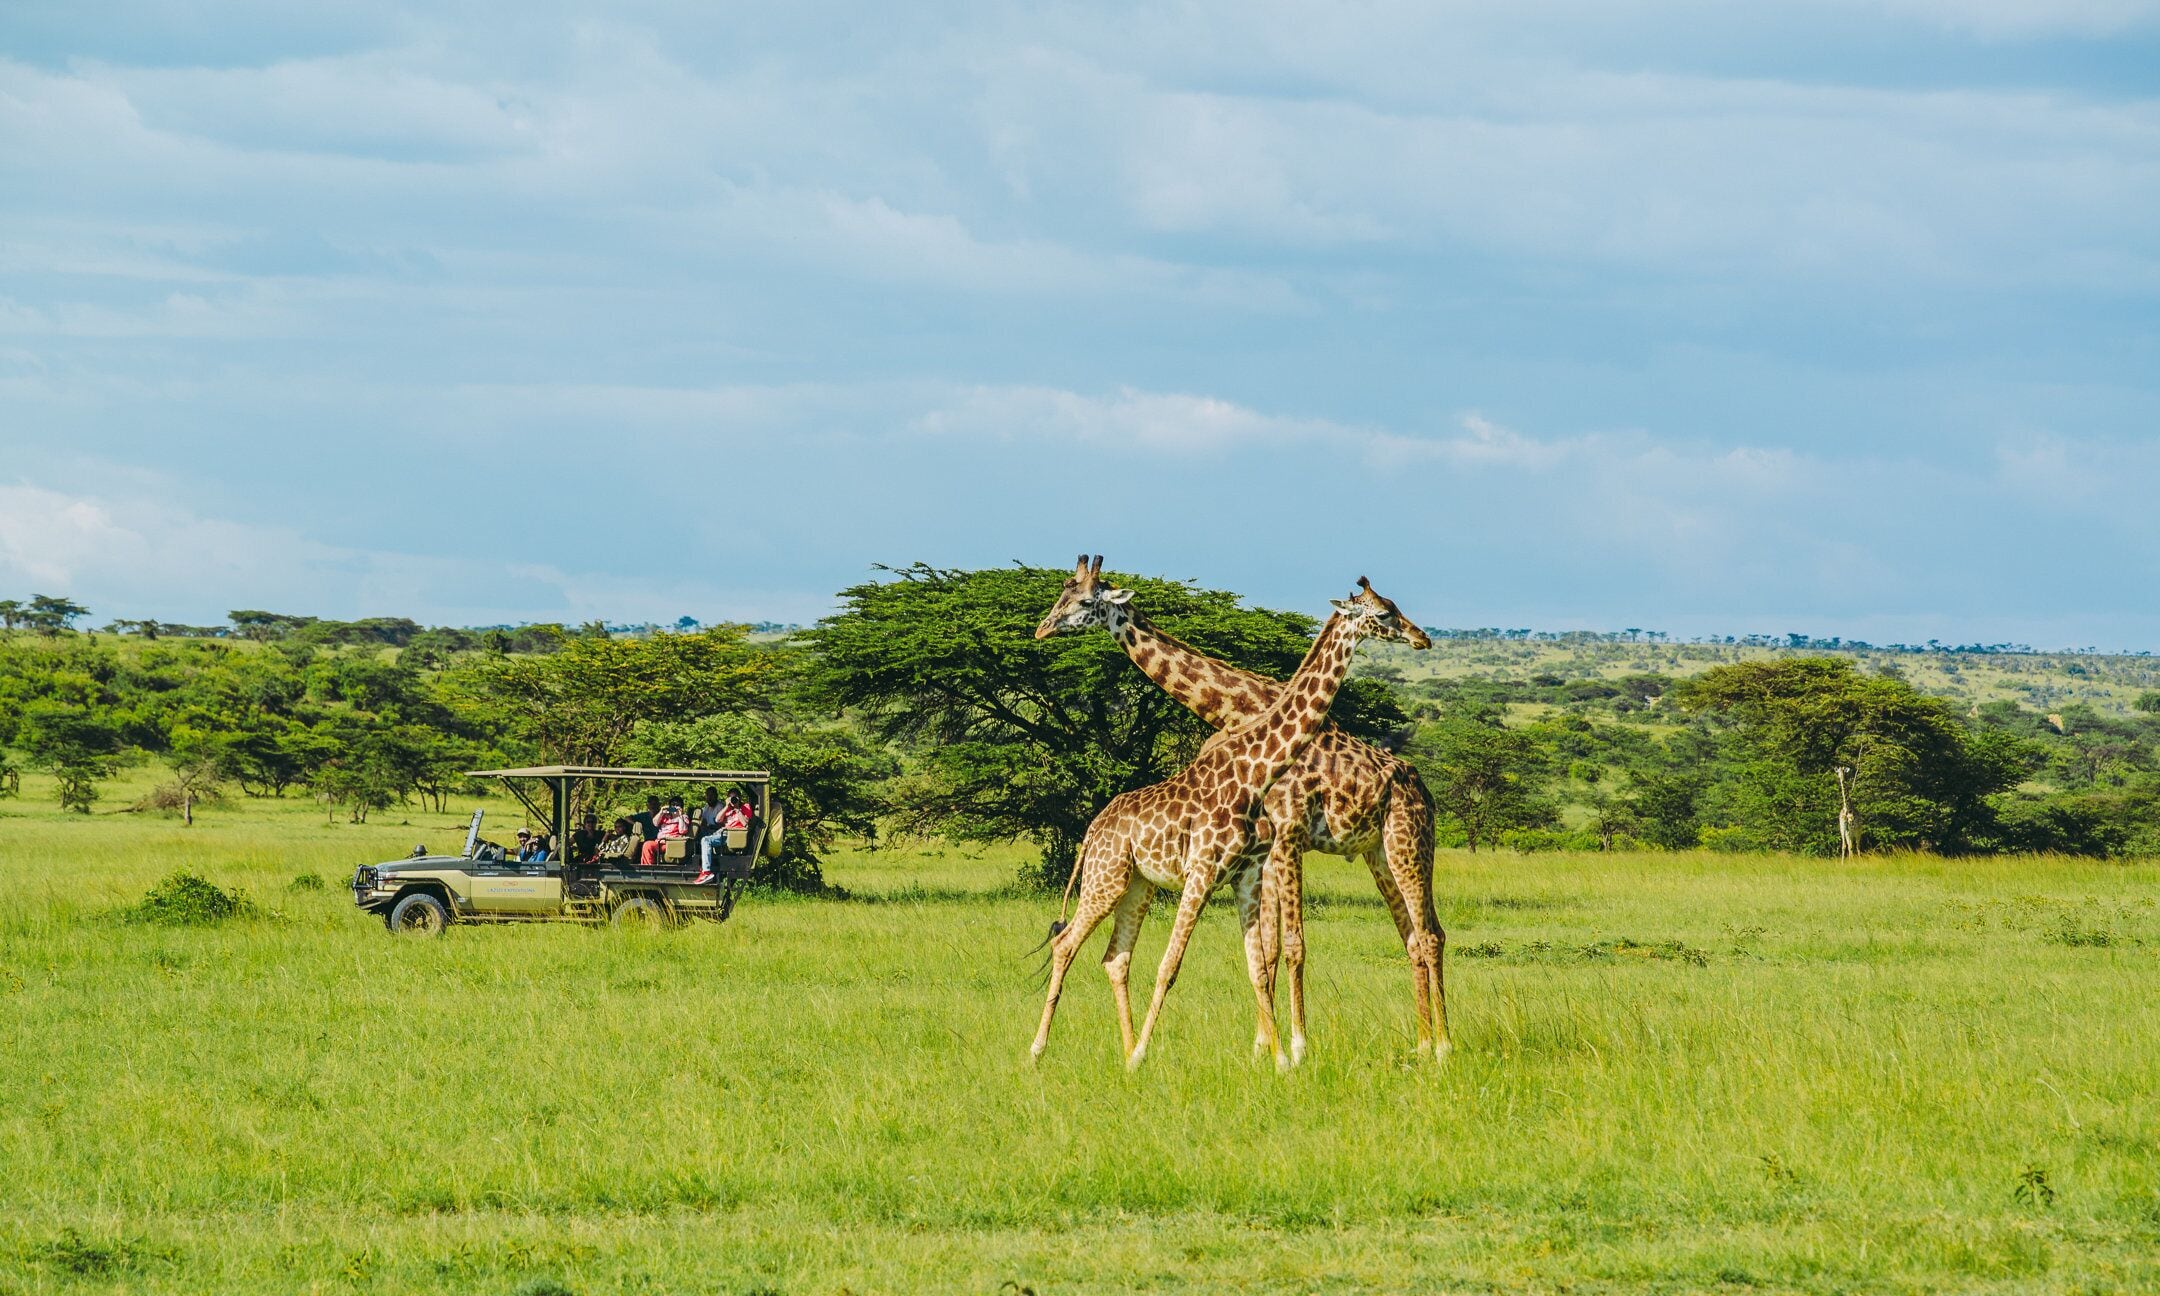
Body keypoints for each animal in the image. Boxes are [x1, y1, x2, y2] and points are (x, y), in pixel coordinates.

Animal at [1036, 556, 1449, 1063]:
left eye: (1081, 601)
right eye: (1064, 595)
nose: (1041, 628)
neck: (1237, 711)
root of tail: (1424, 790)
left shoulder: (1285, 837)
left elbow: (1287, 946)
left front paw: (1292, 1047)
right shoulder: (1269, 850)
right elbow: (1268, 950)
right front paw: (1268, 1046)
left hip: (1408, 843)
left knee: (1429, 935)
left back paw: (1442, 1046)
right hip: (1378, 852)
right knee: (1412, 937)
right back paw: (1423, 1044)